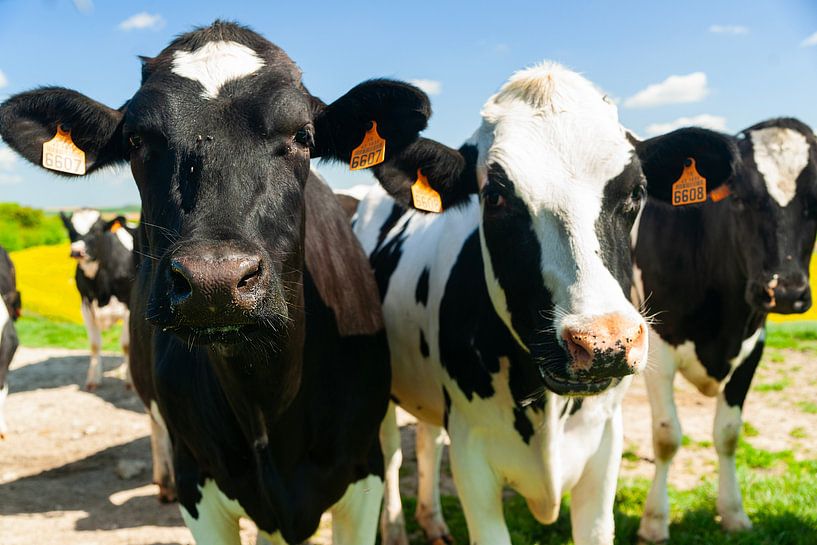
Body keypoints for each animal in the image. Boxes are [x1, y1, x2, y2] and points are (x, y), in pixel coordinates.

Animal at [59, 209, 135, 390]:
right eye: (70, 229)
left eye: (96, 231)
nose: (77, 251)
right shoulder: (86, 306)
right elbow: (94, 345)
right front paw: (93, 379)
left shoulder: (129, 307)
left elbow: (126, 344)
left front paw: (130, 380)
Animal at [350, 62, 740, 545]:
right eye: (495, 196)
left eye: (636, 192)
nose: (603, 343)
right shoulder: (472, 455)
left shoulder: (605, 444)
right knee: (390, 455)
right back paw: (397, 528)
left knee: (425, 440)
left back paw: (434, 522)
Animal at [633, 118, 817, 543]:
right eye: (741, 200)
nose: (786, 292)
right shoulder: (658, 348)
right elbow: (667, 435)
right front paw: (654, 520)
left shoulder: (753, 347)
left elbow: (729, 434)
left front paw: (733, 512)